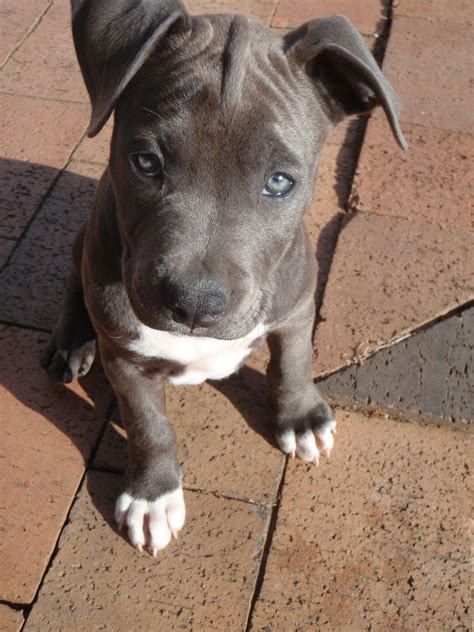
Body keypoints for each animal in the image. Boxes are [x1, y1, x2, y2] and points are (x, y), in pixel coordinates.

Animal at [41, 0, 408, 552]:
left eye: (279, 182)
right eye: (145, 162)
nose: (195, 304)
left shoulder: (297, 307)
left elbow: (293, 363)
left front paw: (301, 417)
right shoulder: (125, 359)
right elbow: (149, 425)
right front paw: (152, 495)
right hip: (87, 240)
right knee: (73, 280)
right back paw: (71, 342)